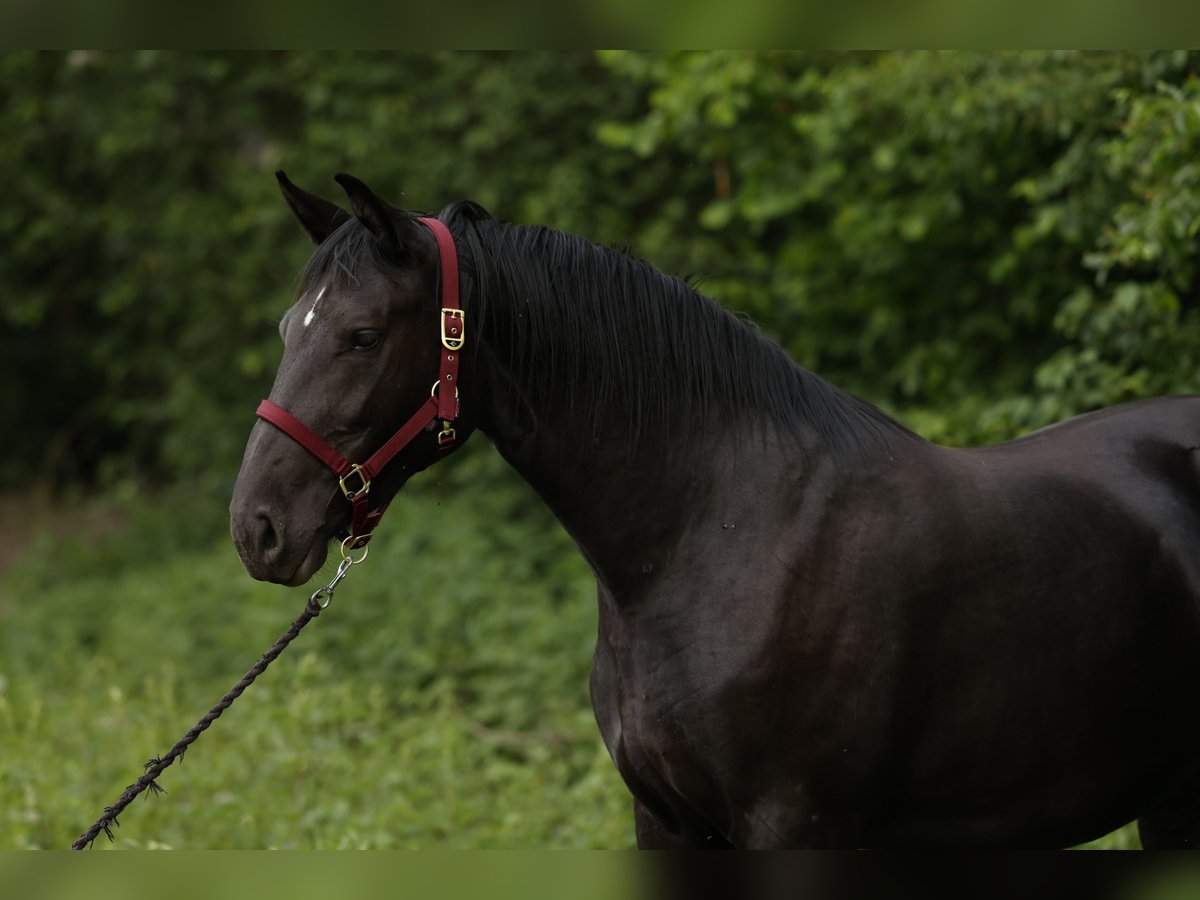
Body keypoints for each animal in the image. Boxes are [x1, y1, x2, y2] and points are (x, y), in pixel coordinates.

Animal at [229, 171, 1200, 849]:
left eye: (360, 336)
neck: (716, 536)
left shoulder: (794, 824)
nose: (257, 528)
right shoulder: (663, 820)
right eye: (284, 328)